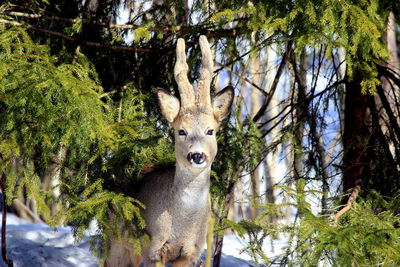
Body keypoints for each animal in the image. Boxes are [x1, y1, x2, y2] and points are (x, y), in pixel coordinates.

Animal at [104, 35, 233, 267]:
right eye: (181, 131)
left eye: (210, 130)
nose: (197, 155)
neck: (183, 225)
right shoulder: (154, 248)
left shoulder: (191, 252)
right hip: (115, 245)